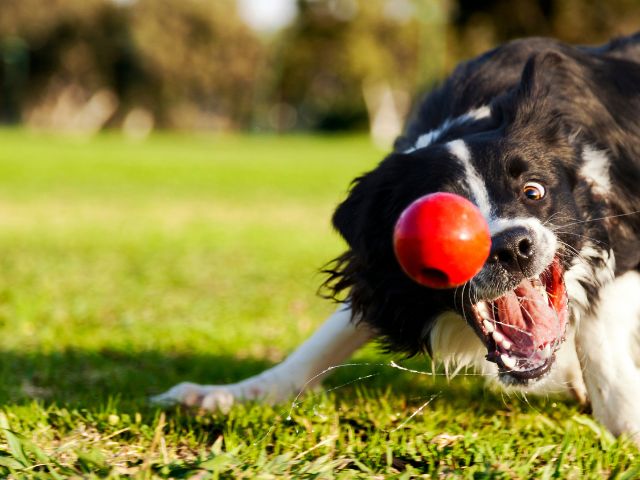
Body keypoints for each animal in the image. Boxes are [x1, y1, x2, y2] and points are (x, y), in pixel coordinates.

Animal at [154, 33, 640, 444]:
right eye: (438, 224)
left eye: (533, 192)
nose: (511, 247)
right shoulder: (378, 266)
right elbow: (330, 335)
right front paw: (227, 394)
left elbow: (596, 328)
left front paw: (623, 417)